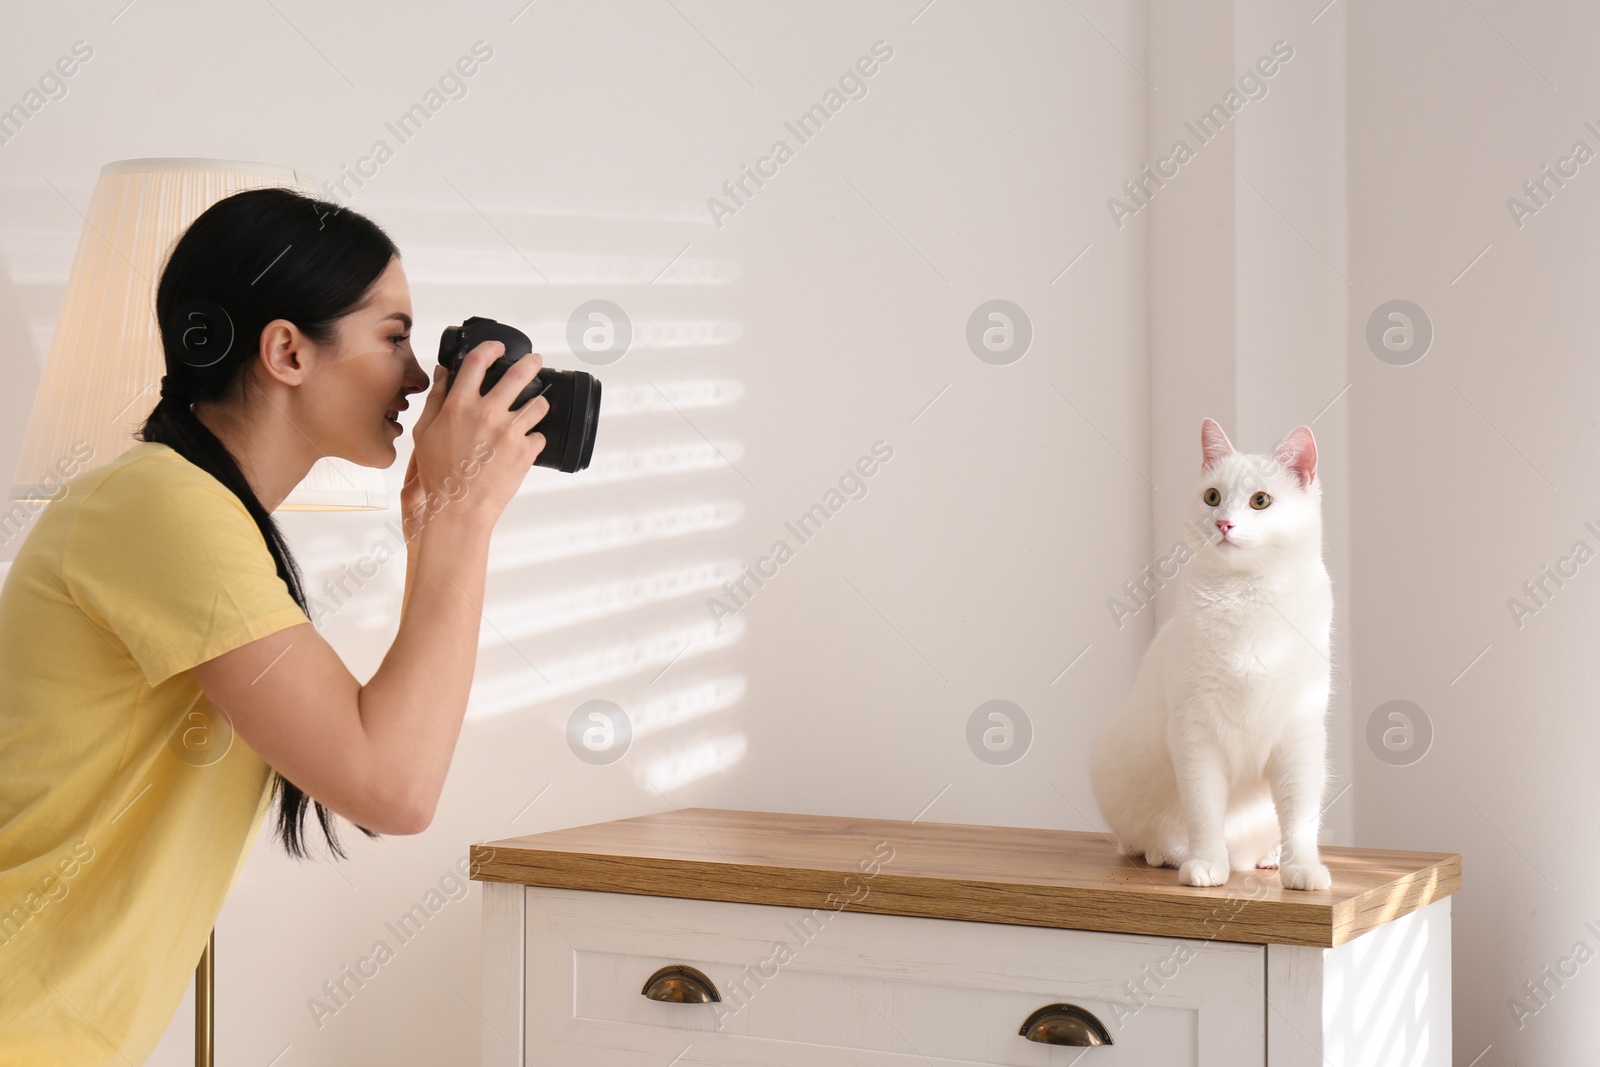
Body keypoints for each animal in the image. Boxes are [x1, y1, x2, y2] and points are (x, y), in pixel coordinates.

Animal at [1088, 415, 1337, 895]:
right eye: (1213, 497)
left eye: (1260, 500)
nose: (1223, 523)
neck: (1249, 596)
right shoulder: (1195, 735)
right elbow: (1204, 810)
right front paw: (1205, 863)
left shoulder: (1300, 737)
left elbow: (1299, 815)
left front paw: (1301, 868)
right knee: (1133, 841)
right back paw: (1164, 853)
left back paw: (1268, 857)